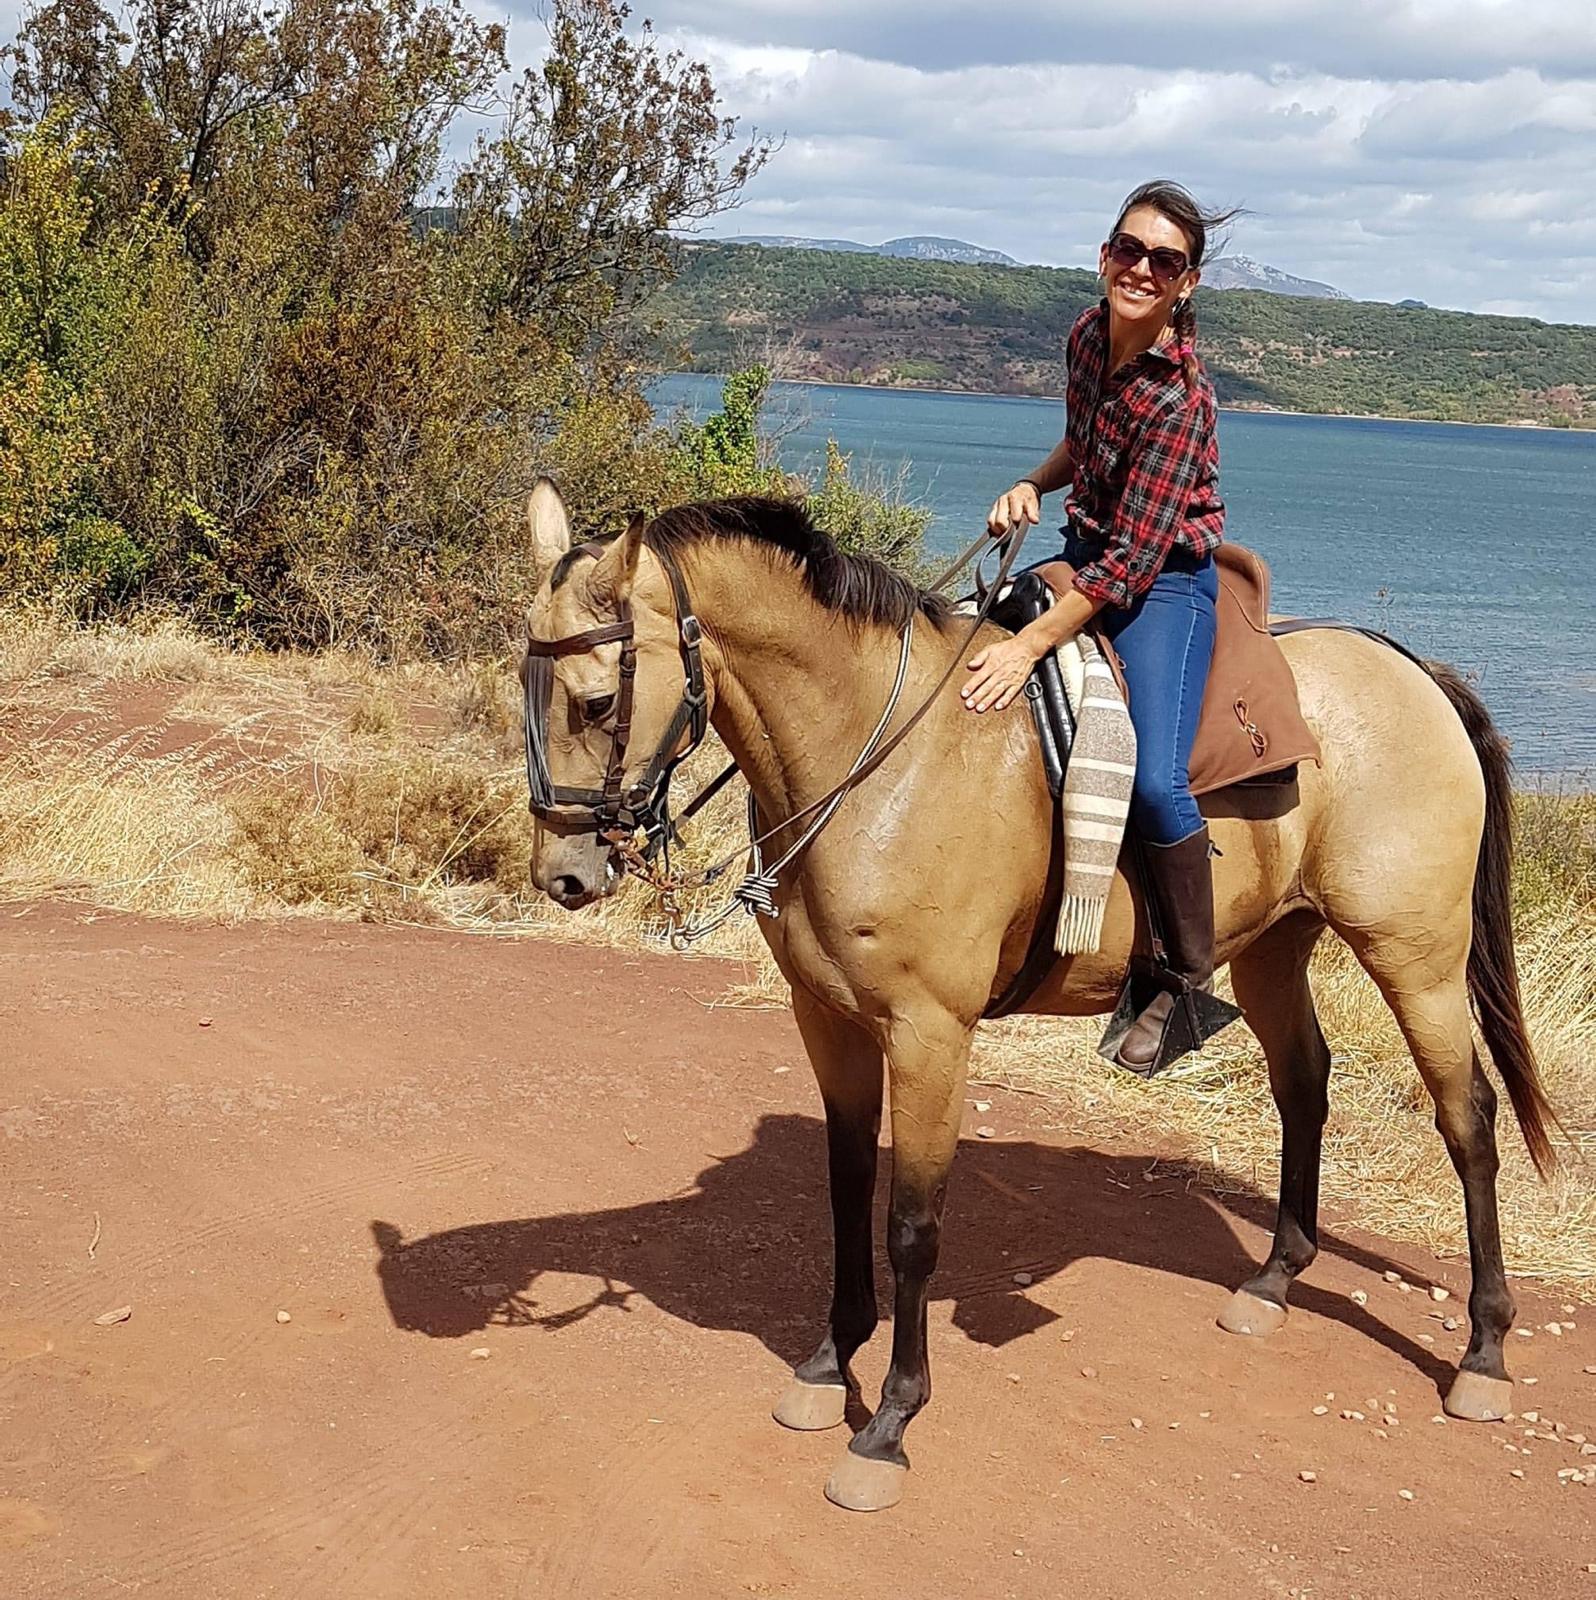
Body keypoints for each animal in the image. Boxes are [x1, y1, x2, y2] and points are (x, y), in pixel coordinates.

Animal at [519, 481, 1557, 1513]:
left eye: (598, 700)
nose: (561, 874)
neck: (875, 752)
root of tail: (1414, 671)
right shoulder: (829, 1019)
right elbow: (845, 1189)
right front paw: (827, 1364)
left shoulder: (930, 1035)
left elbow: (911, 1227)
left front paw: (888, 1424)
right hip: (1275, 947)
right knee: (1304, 1085)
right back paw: (1272, 1283)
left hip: (1416, 958)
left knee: (1469, 1120)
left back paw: (1484, 1352)